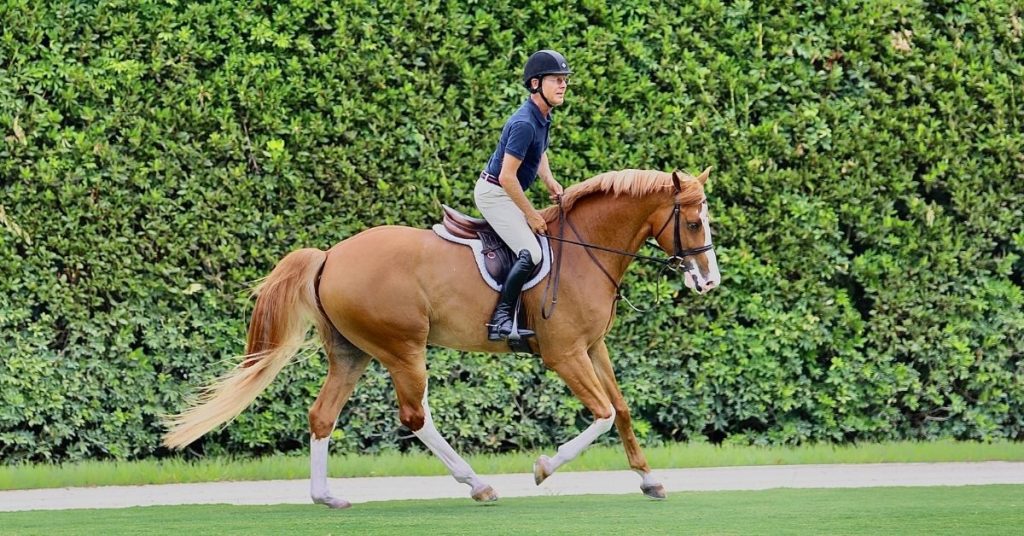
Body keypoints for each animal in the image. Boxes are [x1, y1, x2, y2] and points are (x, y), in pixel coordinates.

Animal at [162, 167, 720, 508]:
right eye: (694, 222)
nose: (708, 282)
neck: (583, 250)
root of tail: (330, 256)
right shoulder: (564, 354)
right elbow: (602, 414)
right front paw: (543, 468)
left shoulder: (591, 347)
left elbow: (620, 410)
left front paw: (649, 479)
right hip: (402, 349)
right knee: (415, 416)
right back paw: (478, 484)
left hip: (352, 354)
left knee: (323, 415)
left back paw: (327, 497)